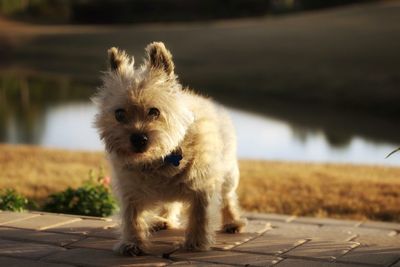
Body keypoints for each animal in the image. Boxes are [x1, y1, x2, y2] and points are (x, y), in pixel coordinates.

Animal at [92, 42, 245, 258]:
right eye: (119, 114)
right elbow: (132, 217)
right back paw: (164, 221)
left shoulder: (202, 185)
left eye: (154, 112)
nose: (138, 139)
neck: (159, 160)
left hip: (228, 174)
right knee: (170, 203)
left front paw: (196, 243)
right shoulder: (129, 191)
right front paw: (132, 243)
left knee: (227, 198)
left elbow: (199, 214)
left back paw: (232, 222)